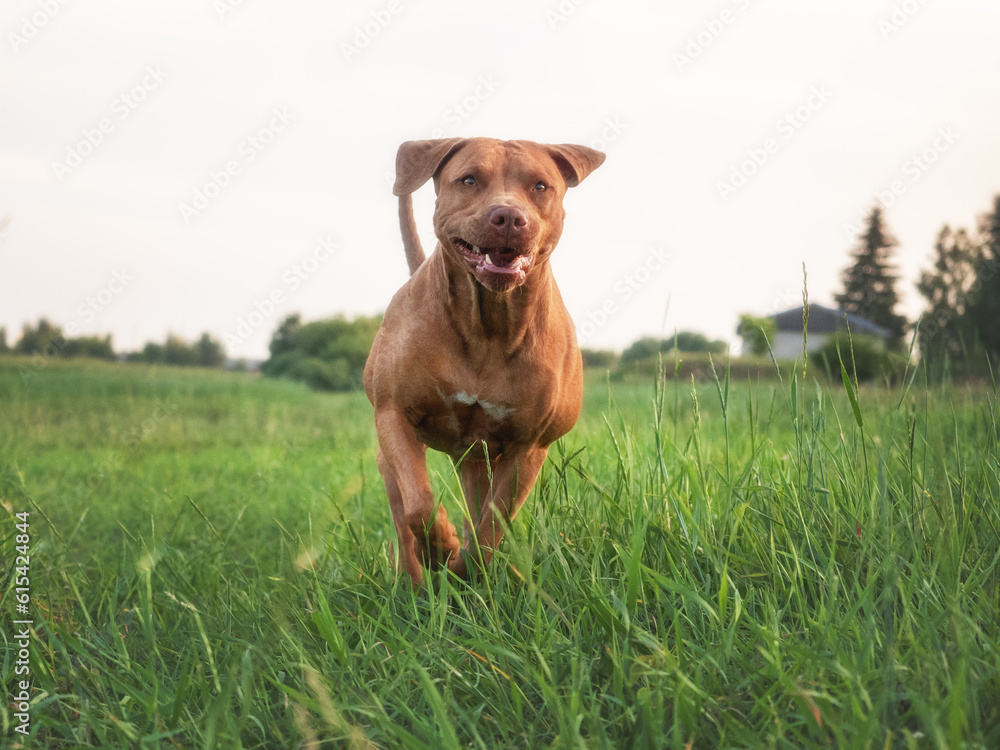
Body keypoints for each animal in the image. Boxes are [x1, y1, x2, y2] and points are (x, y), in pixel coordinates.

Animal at [366, 141, 604, 588]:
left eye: (540, 186)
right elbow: (419, 504)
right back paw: (414, 580)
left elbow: (491, 528)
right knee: (401, 518)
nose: (509, 217)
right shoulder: (393, 415)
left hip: (478, 461)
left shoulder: (529, 445)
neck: (488, 325)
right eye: (470, 179)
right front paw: (441, 549)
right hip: (392, 458)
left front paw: (466, 568)